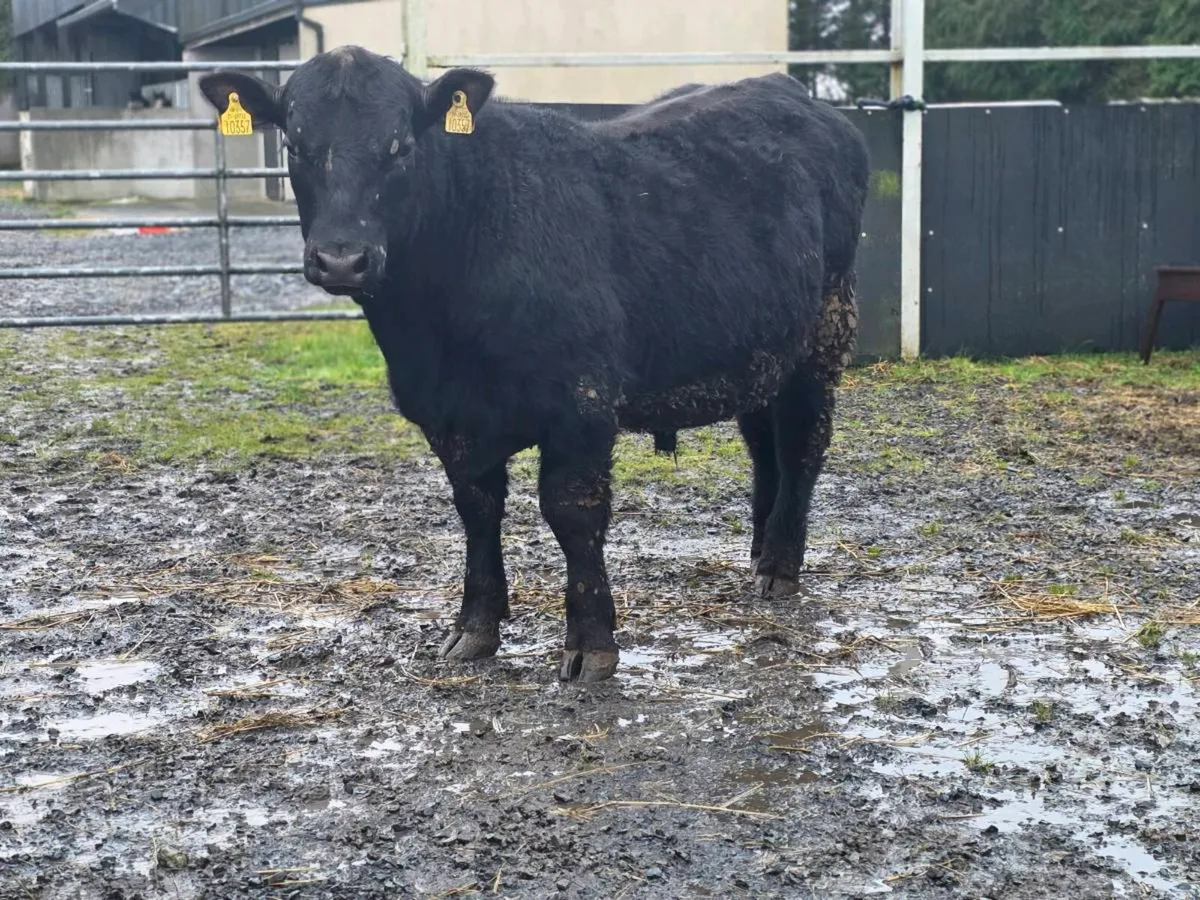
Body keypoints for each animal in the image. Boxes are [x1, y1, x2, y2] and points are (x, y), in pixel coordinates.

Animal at [199, 46, 869, 682]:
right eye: (295, 144)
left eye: (402, 146)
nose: (341, 258)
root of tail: (789, 90)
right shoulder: (449, 417)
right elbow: (476, 510)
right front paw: (474, 628)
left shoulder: (582, 402)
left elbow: (572, 513)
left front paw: (591, 644)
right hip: (763, 346)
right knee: (765, 445)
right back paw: (760, 552)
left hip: (824, 330)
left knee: (803, 444)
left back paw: (780, 567)